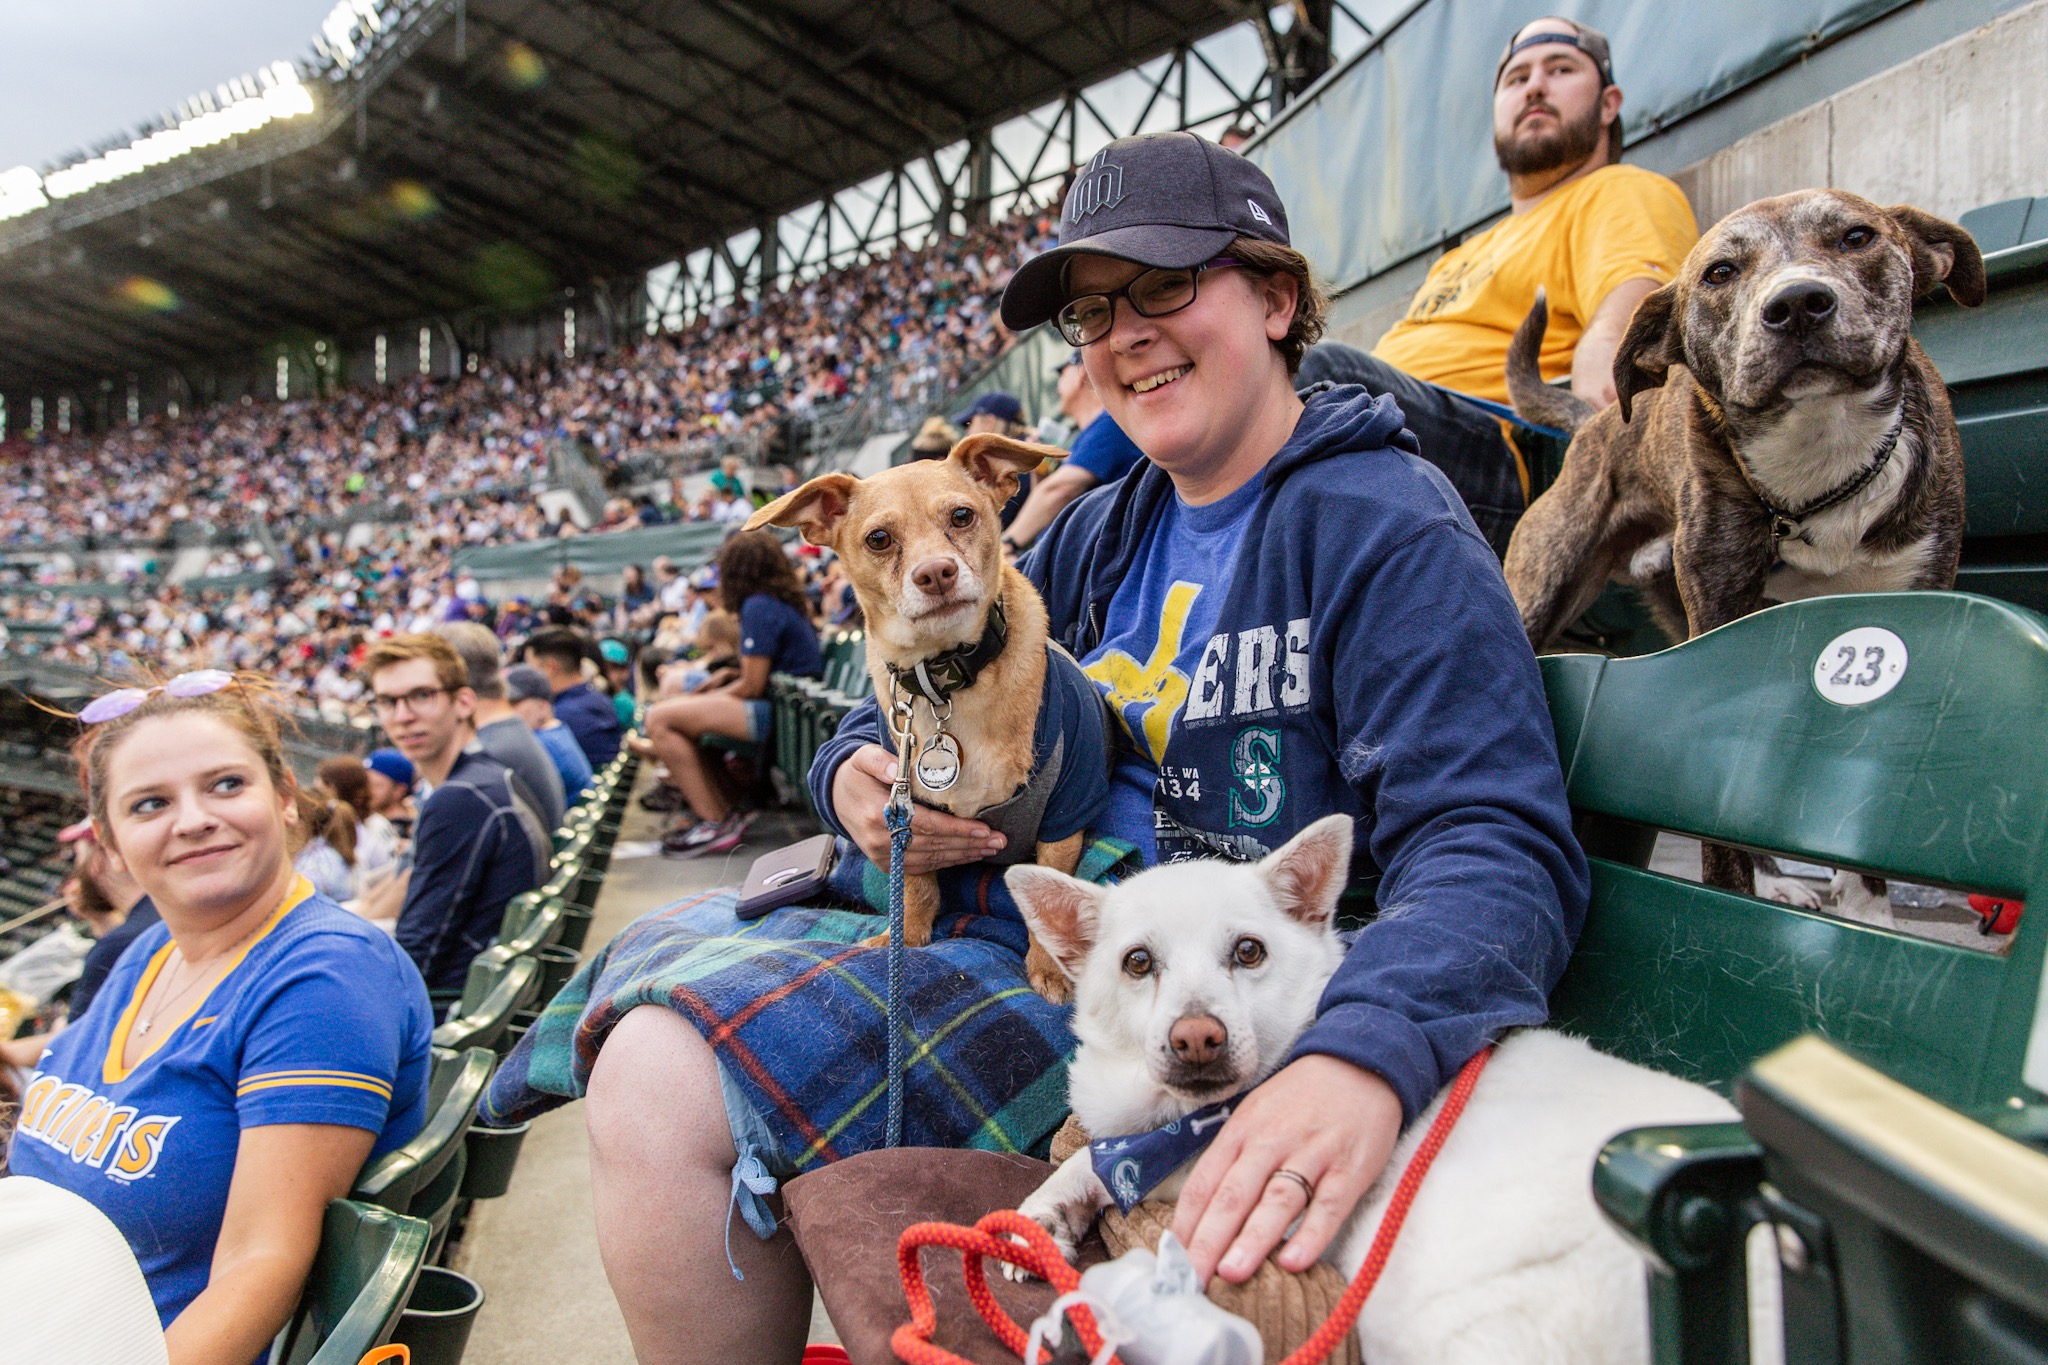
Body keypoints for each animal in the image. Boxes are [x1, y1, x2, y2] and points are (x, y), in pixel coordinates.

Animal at [741, 437, 1089, 1002]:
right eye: (879, 539)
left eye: (962, 516)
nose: (935, 572)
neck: (946, 680)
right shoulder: (910, 817)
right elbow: (916, 885)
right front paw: (906, 938)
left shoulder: (1069, 809)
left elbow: (1052, 901)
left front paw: (1052, 970)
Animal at [999, 818, 1736, 1358]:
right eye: (1138, 963)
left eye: (1248, 951)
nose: (1197, 1037)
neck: (1190, 1117)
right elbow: (1082, 1162)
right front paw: (1037, 1222)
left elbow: (1100, 1164)